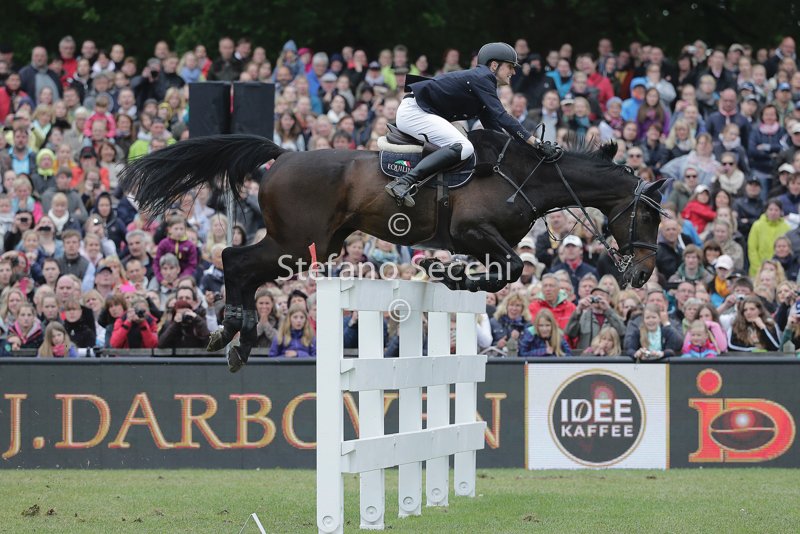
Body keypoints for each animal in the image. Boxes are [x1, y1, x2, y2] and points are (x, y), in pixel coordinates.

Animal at [120, 129, 666, 372]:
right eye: (650, 216)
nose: (642, 274)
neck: (526, 176)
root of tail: (283, 156)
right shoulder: (472, 230)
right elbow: (508, 269)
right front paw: (446, 272)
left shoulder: (490, 241)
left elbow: (506, 271)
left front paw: (450, 274)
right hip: (296, 243)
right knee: (236, 263)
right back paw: (234, 331)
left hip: (310, 244)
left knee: (244, 269)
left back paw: (237, 338)